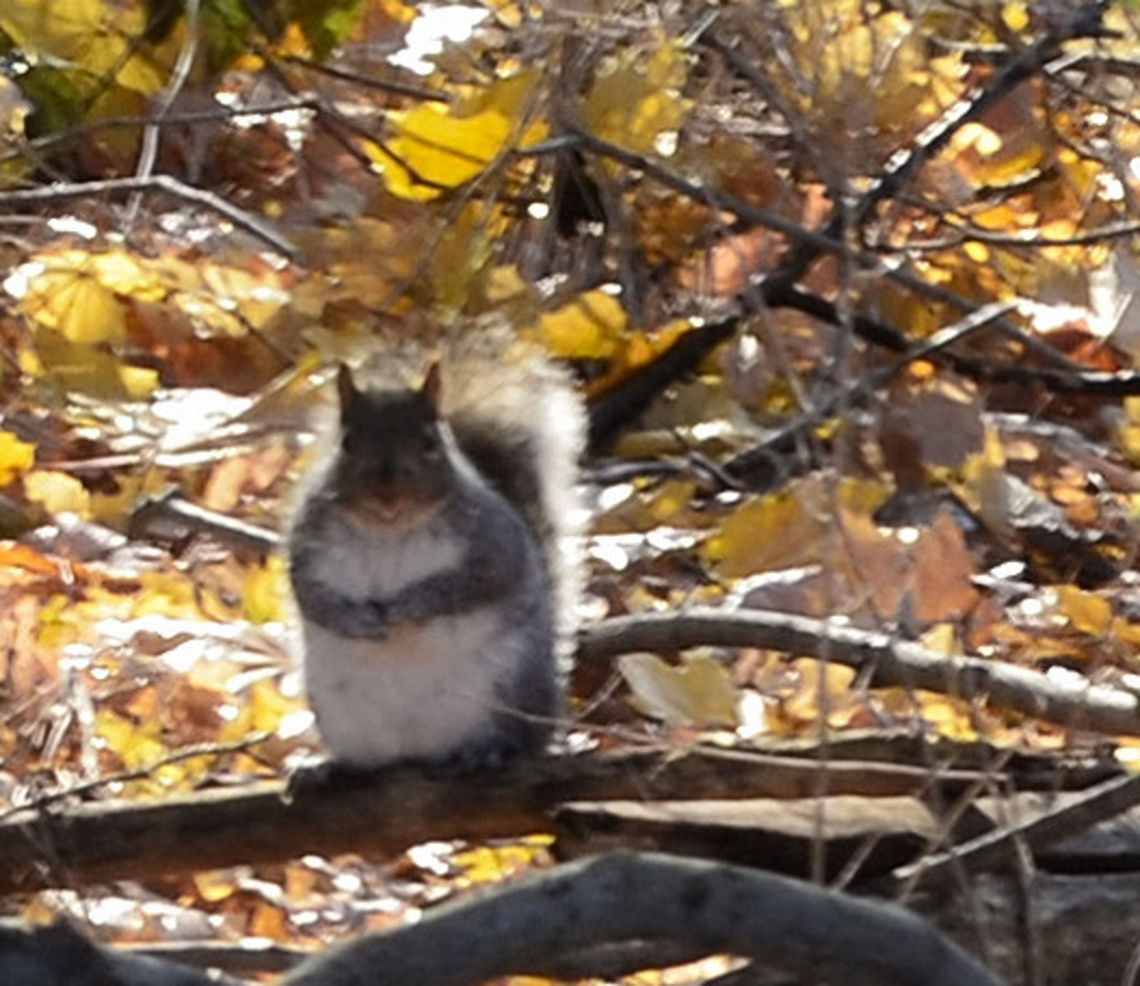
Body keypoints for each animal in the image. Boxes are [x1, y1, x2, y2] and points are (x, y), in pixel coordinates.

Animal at [287, 336, 585, 771]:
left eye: (430, 443)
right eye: (347, 443)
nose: (387, 496)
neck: (389, 530)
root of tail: (415, 751)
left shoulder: (492, 544)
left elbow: (470, 583)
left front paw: (410, 605)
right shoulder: (306, 543)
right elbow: (310, 594)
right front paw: (353, 618)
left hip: (507, 687)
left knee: (517, 737)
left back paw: (489, 749)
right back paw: (332, 768)